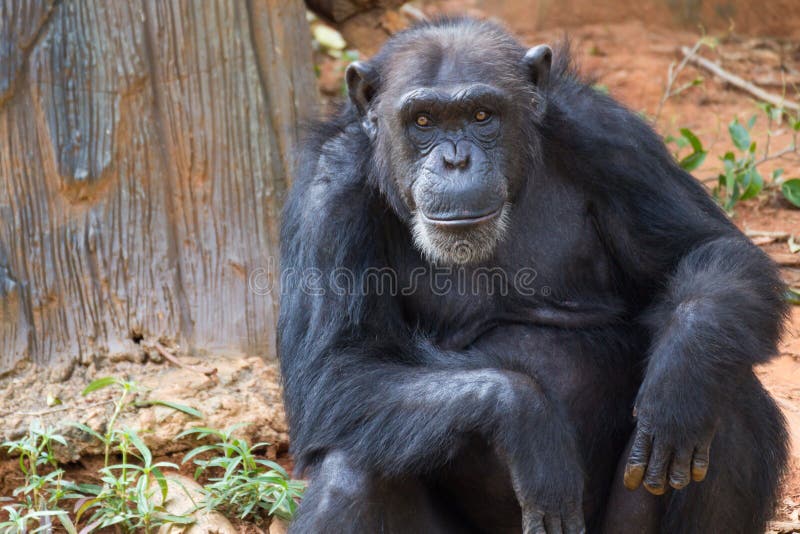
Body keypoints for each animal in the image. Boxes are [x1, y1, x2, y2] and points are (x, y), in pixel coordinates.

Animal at [278, 16, 792, 534]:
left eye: (482, 115)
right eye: (422, 121)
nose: (456, 160)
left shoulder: (614, 138)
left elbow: (708, 248)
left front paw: (680, 382)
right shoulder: (330, 193)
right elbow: (338, 365)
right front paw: (529, 421)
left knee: (727, 394)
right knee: (353, 473)